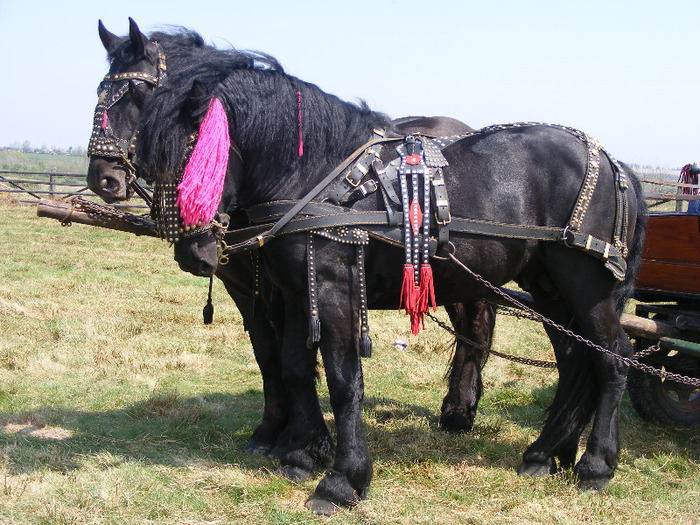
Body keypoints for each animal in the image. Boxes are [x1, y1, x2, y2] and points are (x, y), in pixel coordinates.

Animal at [86, 19, 492, 462]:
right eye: (98, 91)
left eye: (137, 92)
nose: (103, 178)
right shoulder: (246, 285)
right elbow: (269, 355)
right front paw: (275, 432)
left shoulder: (285, 286)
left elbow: (293, 358)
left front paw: (297, 438)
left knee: (475, 326)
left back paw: (458, 411)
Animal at [129, 29, 648, 512]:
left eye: (198, 151)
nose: (194, 252)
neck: (319, 177)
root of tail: (615, 162)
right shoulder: (300, 291)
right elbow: (296, 367)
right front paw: (301, 455)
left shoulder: (333, 289)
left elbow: (343, 381)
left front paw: (342, 481)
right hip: (548, 286)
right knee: (575, 359)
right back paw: (544, 455)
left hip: (585, 284)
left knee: (614, 358)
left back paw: (595, 466)